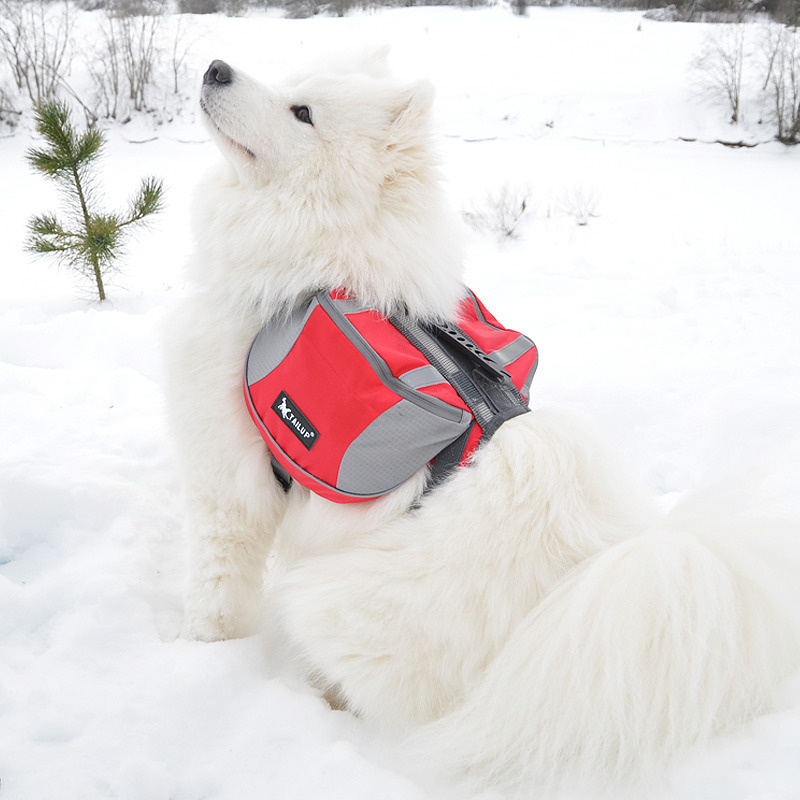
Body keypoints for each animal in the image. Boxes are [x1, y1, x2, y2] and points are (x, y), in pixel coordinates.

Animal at [162, 53, 800, 796]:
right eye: (290, 84)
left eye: (303, 113)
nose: (216, 67)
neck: (322, 267)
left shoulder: (228, 484)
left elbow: (216, 588)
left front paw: (199, 653)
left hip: (329, 598)